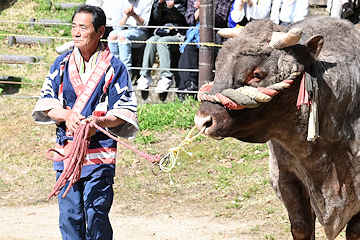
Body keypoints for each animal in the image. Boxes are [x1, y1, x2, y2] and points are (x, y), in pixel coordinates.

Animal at [194, 15, 360, 239]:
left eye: (256, 74)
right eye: (218, 68)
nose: (203, 120)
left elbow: (354, 231)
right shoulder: (284, 177)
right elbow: (301, 226)